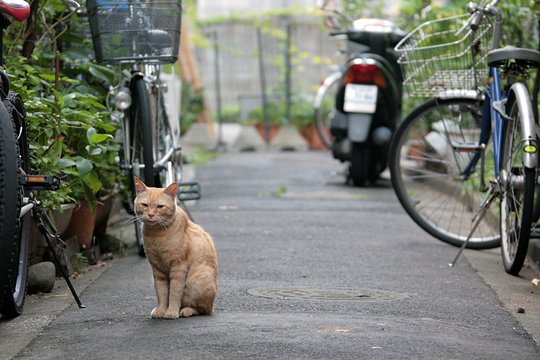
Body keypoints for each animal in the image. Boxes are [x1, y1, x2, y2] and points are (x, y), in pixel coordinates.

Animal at [133, 177, 217, 318]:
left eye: (160, 206)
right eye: (145, 205)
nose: (150, 215)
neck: (156, 234)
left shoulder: (178, 267)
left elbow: (174, 293)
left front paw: (171, 311)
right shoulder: (157, 270)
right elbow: (161, 293)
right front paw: (161, 310)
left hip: (196, 281)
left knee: (202, 309)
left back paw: (186, 310)